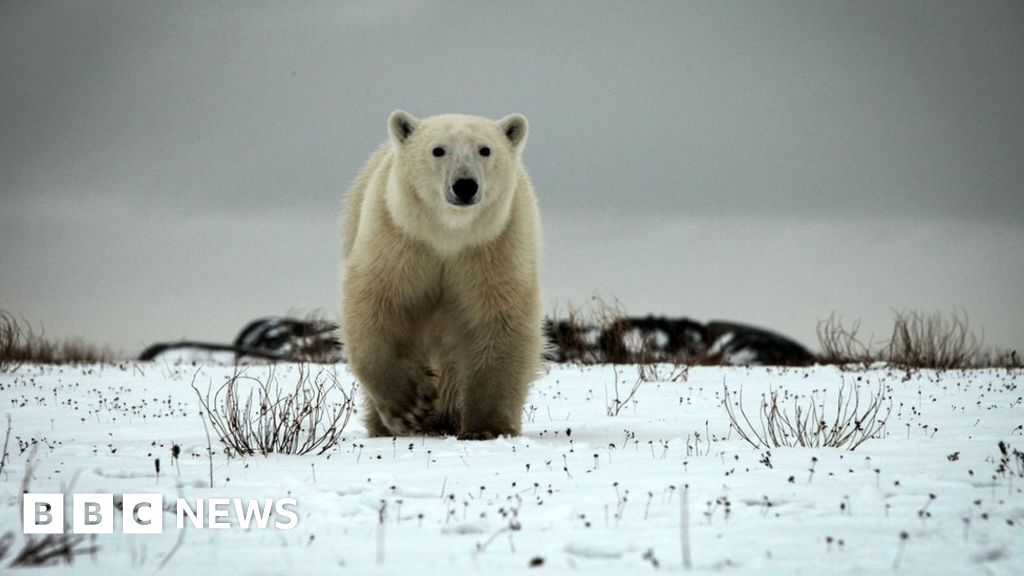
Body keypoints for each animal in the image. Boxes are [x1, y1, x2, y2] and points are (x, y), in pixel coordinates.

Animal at [340, 110, 543, 440]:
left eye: (485, 149)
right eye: (438, 150)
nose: (465, 185)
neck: (448, 236)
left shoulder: (494, 247)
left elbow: (499, 319)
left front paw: (487, 428)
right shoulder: (398, 239)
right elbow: (374, 306)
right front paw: (410, 405)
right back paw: (388, 426)